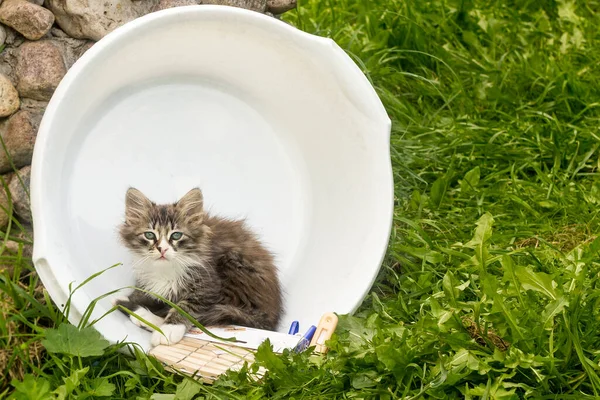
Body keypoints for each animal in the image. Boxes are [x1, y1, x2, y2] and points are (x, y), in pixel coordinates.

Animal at [115, 188, 284, 346]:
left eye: (176, 235)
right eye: (149, 235)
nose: (162, 249)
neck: (165, 269)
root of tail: (270, 318)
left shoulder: (208, 284)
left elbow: (184, 307)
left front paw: (169, 329)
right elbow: (147, 293)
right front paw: (130, 297)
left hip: (235, 269)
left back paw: (145, 318)